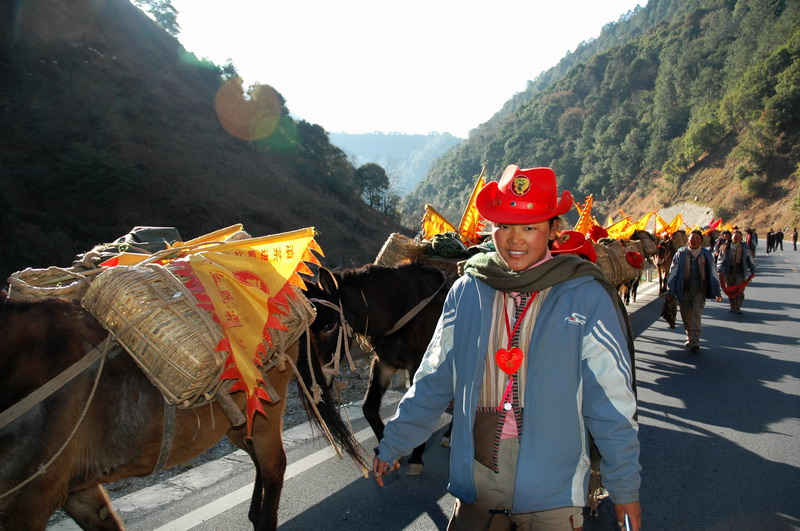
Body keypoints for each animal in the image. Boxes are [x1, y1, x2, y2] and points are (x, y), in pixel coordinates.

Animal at [0, 298, 368, 528]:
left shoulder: (32, 500)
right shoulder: (74, 489)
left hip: (265, 411)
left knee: (273, 466)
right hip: (236, 423)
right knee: (258, 460)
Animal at [304, 264, 446, 476]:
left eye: (329, 326)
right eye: (308, 329)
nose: (319, 379)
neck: (396, 309)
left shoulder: (418, 364)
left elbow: (417, 407)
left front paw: (416, 456)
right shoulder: (384, 363)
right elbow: (369, 408)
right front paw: (386, 450)